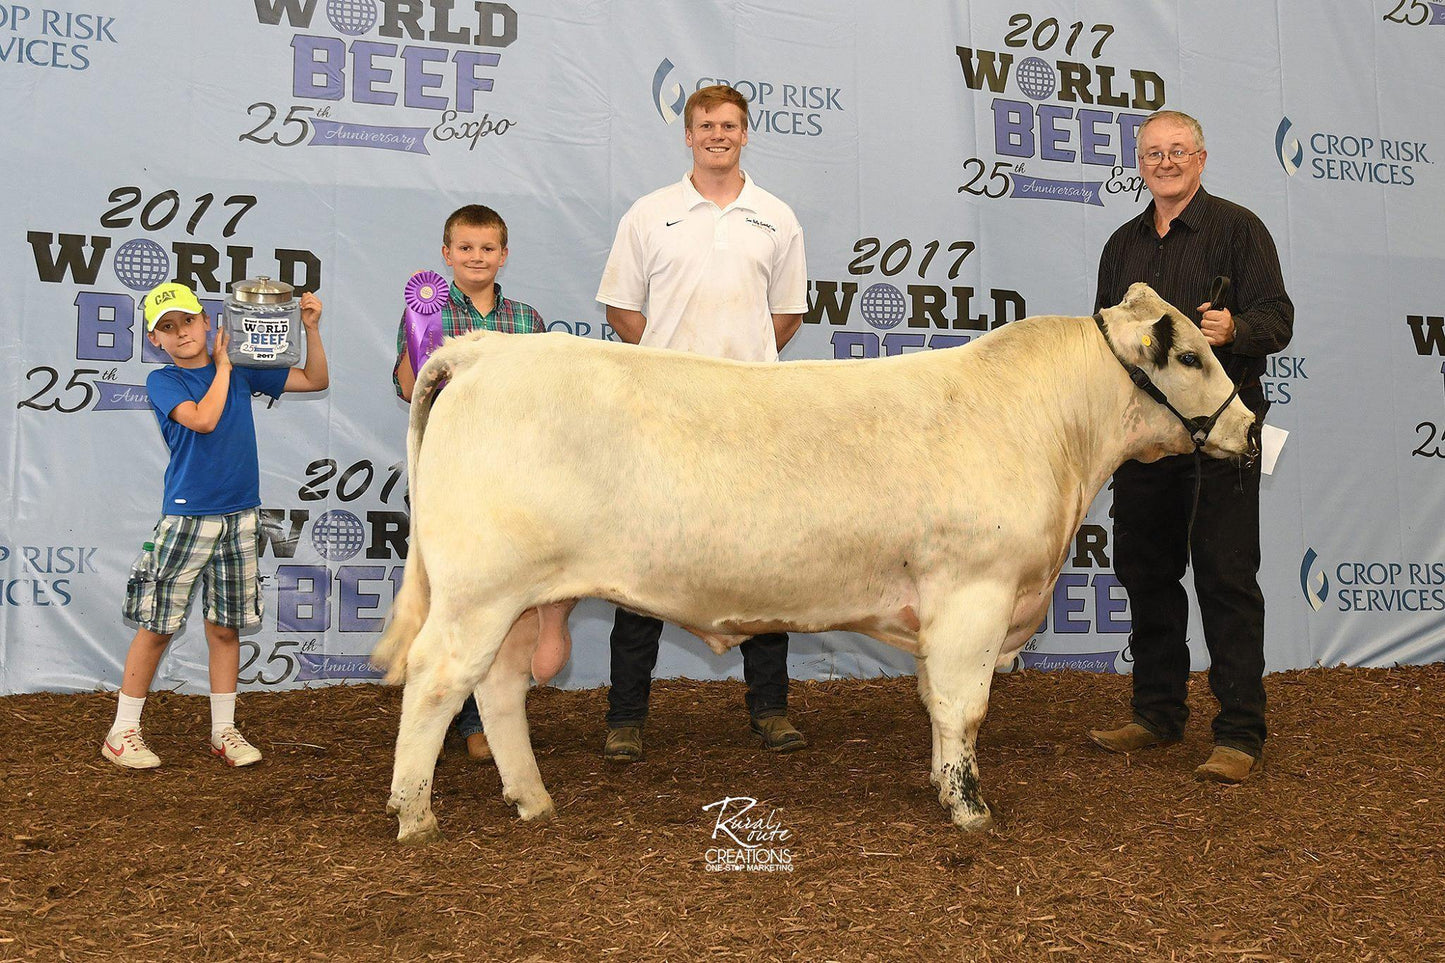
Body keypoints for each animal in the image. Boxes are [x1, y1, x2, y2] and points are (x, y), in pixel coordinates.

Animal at [372, 283, 1254, 838]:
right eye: (1190, 359)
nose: (1249, 429)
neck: (1050, 430)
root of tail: (484, 351)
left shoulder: (942, 608)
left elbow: (935, 704)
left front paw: (940, 785)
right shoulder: (977, 591)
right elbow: (964, 707)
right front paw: (970, 810)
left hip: (521, 596)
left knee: (497, 687)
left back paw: (533, 799)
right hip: (479, 589)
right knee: (438, 679)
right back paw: (415, 814)